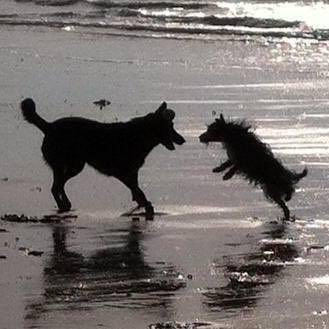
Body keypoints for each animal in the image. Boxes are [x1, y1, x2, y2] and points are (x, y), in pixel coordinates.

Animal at [20, 98, 184, 219]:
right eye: (170, 126)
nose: (182, 140)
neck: (141, 134)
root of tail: (48, 127)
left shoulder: (132, 173)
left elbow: (137, 191)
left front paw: (142, 204)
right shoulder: (123, 173)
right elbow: (139, 192)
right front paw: (147, 206)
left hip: (71, 166)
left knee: (57, 186)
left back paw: (66, 204)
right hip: (71, 166)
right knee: (56, 187)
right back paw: (63, 206)